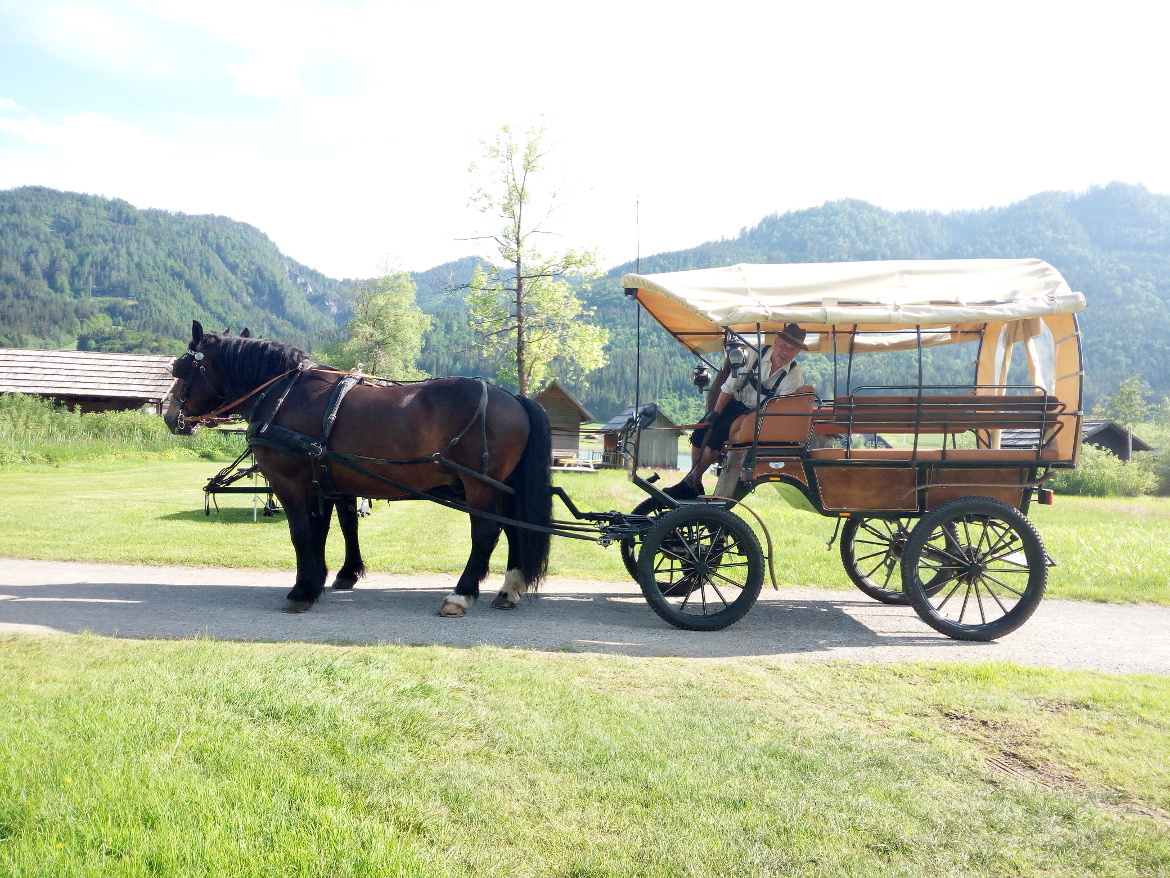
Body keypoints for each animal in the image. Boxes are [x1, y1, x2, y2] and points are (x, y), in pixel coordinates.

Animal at [164, 320, 552, 613]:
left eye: (182, 368)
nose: (170, 416)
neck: (283, 394)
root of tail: (513, 397)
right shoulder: (323, 482)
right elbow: (325, 530)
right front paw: (320, 580)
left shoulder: (290, 481)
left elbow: (301, 532)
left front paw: (302, 591)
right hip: (503, 485)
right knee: (514, 528)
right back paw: (508, 589)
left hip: (480, 485)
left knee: (485, 532)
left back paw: (461, 594)